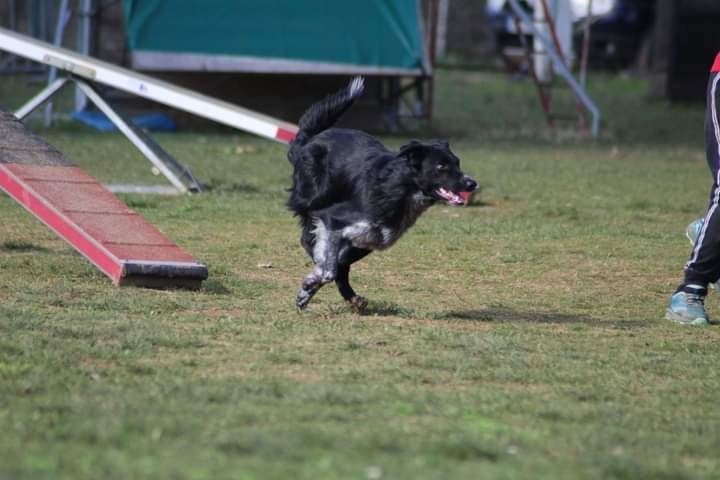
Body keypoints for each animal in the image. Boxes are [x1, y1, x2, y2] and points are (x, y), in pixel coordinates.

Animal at [286, 78, 478, 312]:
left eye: (457, 163)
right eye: (441, 166)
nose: (472, 183)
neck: (398, 187)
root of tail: (308, 142)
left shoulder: (370, 237)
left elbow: (339, 264)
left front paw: (311, 289)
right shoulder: (332, 218)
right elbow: (329, 268)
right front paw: (308, 287)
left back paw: (351, 298)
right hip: (314, 199)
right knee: (307, 240)